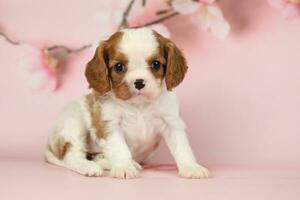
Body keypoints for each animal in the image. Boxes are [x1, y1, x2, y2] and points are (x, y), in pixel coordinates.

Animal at [45, 27, 209, 179]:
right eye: (119, 66)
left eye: (156, 64)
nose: (139, 82)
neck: (139, 105)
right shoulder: (110, 125)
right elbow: (119, 148)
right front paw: (124, 167)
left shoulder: (171, 123)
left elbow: (182, 147)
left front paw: (191, 167)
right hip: (73, 122)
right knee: (72, 156)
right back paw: (90, 167)